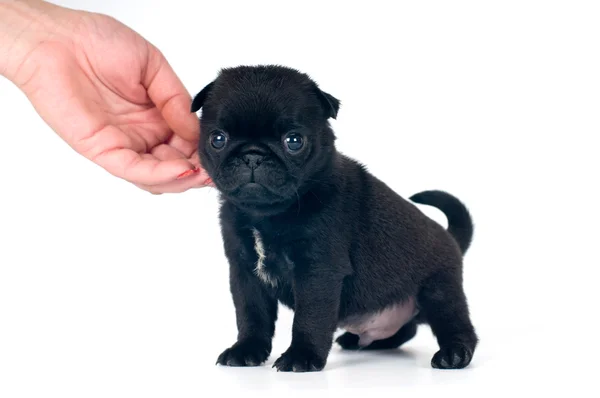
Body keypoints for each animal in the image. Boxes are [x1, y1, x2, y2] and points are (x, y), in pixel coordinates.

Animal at [191, 65, 478, 374]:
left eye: (294, 141)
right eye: (218, 139)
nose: (253, 156)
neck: (266, 213)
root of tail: (450, 237)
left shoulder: (317, 271)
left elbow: (310, 317)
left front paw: (301, 356)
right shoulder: (245, 273)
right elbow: (251, 316)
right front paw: (246, 350)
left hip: (439, 290)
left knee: (456, 323)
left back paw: (454, 354)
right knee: (406, 329)